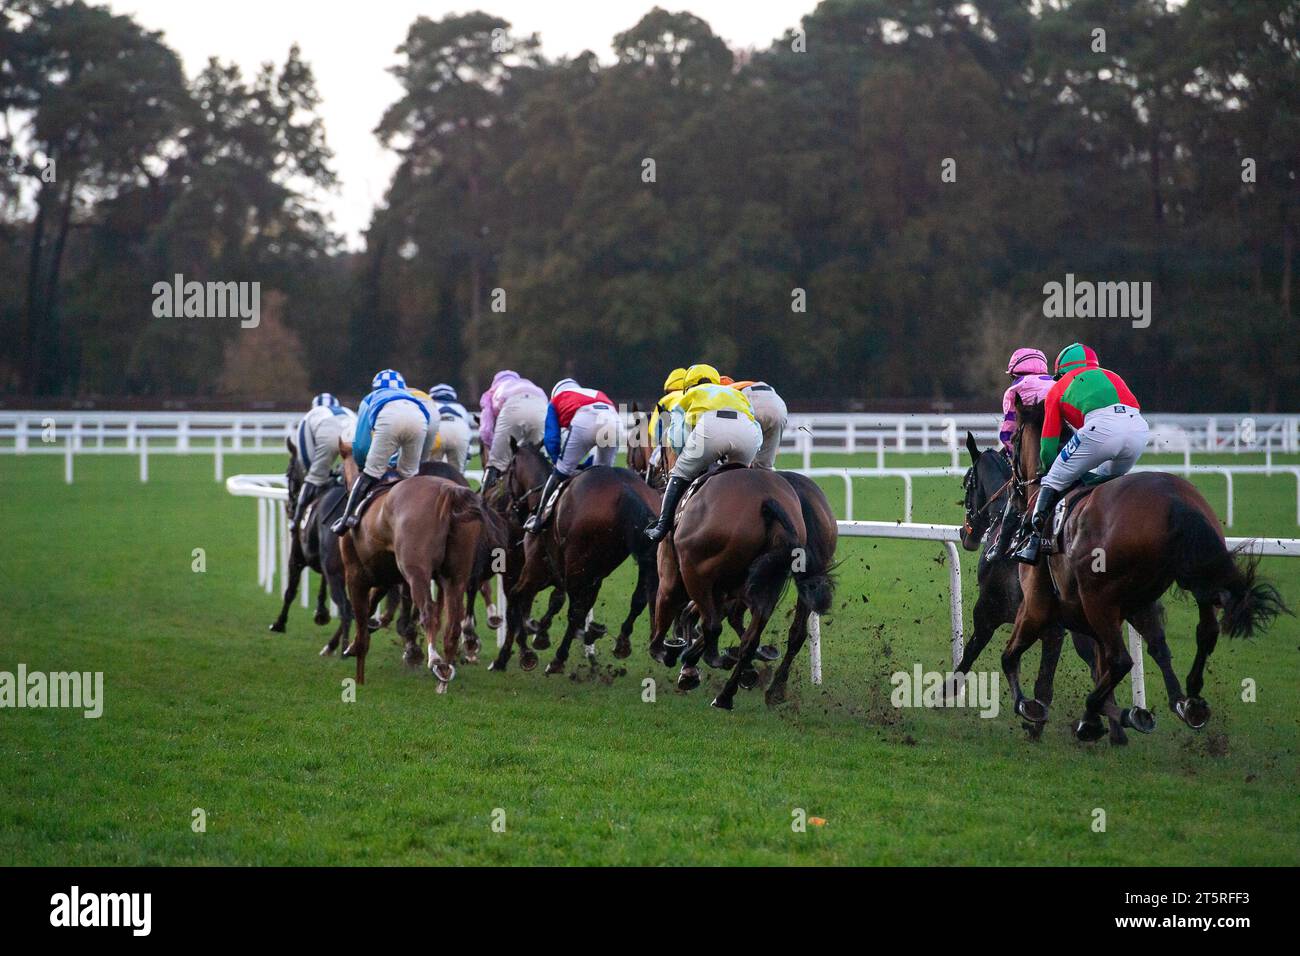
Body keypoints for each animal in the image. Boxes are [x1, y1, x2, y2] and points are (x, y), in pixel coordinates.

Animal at [270, 439, 353, 658]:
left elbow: (290, 590)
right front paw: (321, 613)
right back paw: (337, 646)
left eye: (288, 474)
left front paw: (279, 623)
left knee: (348, 609)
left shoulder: (297, 556)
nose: (289, 508)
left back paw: (343, 648)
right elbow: (321, 582)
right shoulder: (323, 561)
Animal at [338, 447, 504, 697]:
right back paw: (444, 676)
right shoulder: (386, 574)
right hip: (455, 575)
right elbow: (373, 603)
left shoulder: (355, 574)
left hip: (416, 570)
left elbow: (361, 614)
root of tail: (449, 492)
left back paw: (434, 660)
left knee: (429, 611)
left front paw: (357, 664)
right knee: (452, 624)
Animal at [956, 434, 1190, 749]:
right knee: (1155, 649)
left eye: (967, 483)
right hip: (1129, 607)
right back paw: (1169, 708)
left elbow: (974, 654)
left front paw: (945, 694)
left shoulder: (991, 611)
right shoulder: (1065, 625)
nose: (965, 534)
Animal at [998, 395, 1284, 738]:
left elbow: (1009, 655)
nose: (1012, 488)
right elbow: (1155, 647)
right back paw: (1192, 700)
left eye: (1013, 440)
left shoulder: (1037, 605)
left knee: (1120, 660)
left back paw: (1093, 716)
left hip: (1097, 597)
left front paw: (1028, 705)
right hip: (1198, 575)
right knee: (1206, 631)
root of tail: (1174, 500)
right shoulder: (1136, 604)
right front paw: (1164, 704)